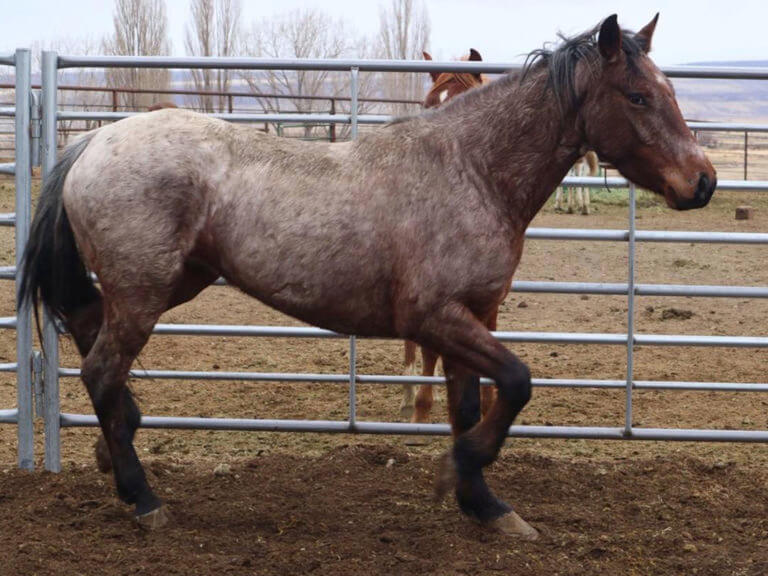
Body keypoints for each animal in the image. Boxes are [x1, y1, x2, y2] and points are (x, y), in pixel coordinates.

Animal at [19, 12, 712, 536]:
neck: (471, 170)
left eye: (671, 91)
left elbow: (470, 404)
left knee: (92, 339)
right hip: (145, 291)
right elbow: (516, 383)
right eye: (638, 96)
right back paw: (144, 498)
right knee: (101, 369)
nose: (702, 181)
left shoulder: (471, 317)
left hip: (165, 284)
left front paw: (484, 506)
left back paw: (116, 448)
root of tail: (94, 142)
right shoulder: (435, 317)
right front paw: (456, 474)